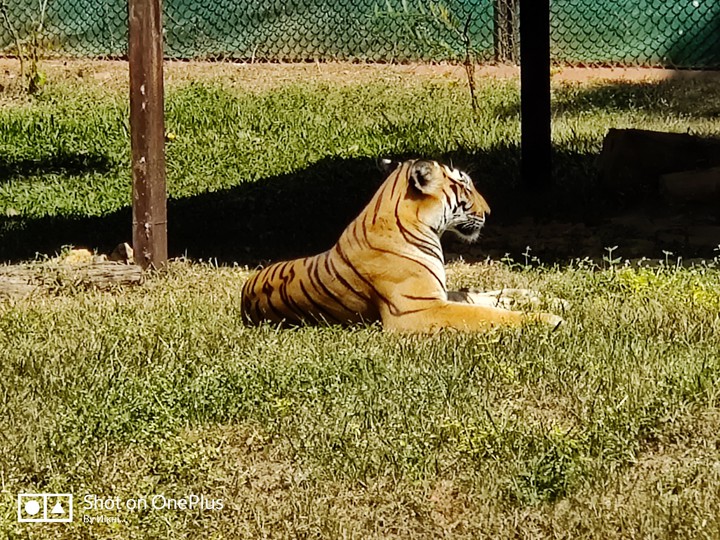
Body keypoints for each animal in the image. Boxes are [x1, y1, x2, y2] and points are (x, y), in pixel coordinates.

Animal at [241, 159, 563, 333]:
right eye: (466, 187)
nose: (489, 211)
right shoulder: (417, 310)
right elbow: (487, 314)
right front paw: (550, 319)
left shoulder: (438, 294)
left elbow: (485, 298)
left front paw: (550, 302)